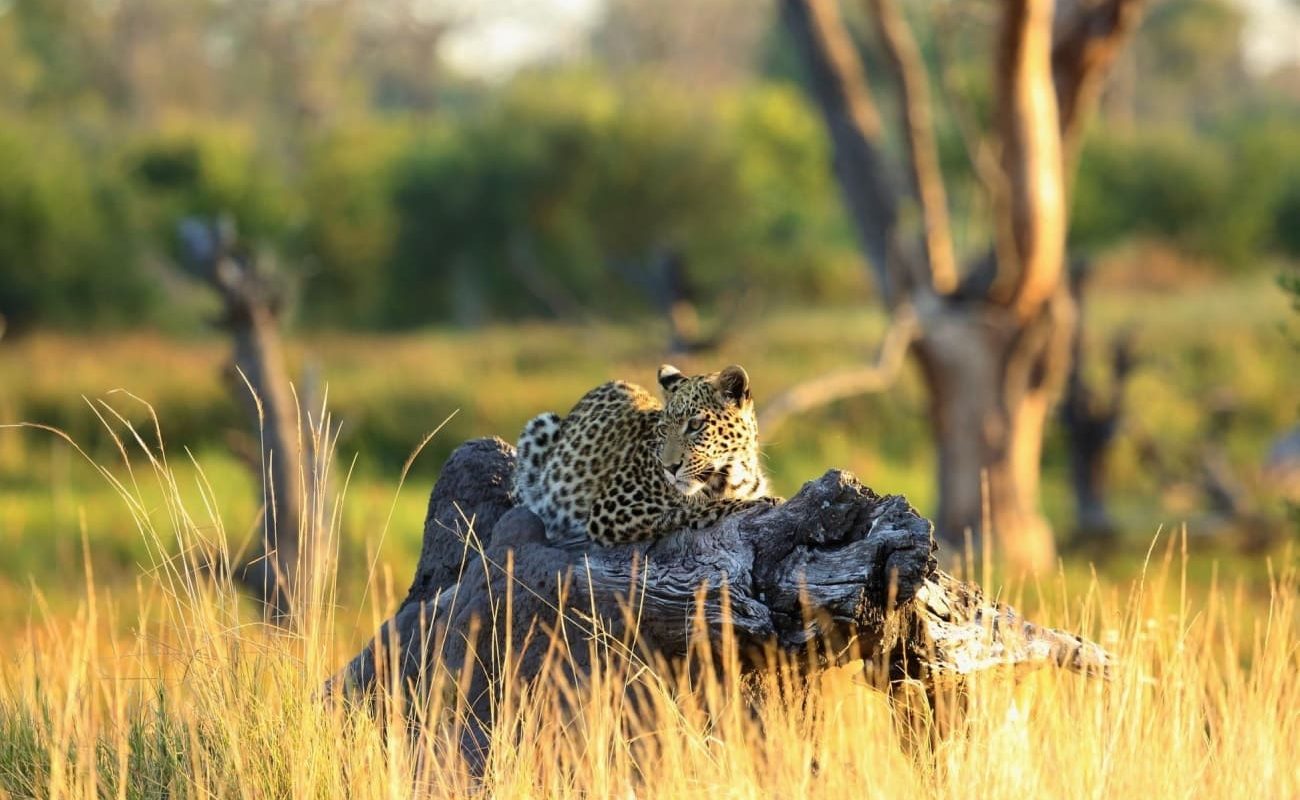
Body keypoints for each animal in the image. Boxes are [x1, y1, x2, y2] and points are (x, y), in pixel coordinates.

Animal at [511, 364, 778, 546]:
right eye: (663, 429)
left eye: (695, 425)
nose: (670, 468)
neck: (734, 474)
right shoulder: (609, 510)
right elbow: (686, 509)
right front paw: (756, 502)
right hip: (540, 426)